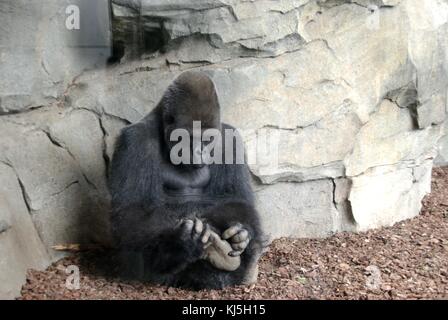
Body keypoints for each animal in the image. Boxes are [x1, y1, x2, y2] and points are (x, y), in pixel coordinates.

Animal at [108, 70, 266, 290]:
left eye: (208, 139)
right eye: (189, 138)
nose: (199, 152)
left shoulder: (229, 140)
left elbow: (237, 198)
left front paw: (240, 233)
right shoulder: (134, 141)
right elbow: (132, 210)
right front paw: (180, 243)